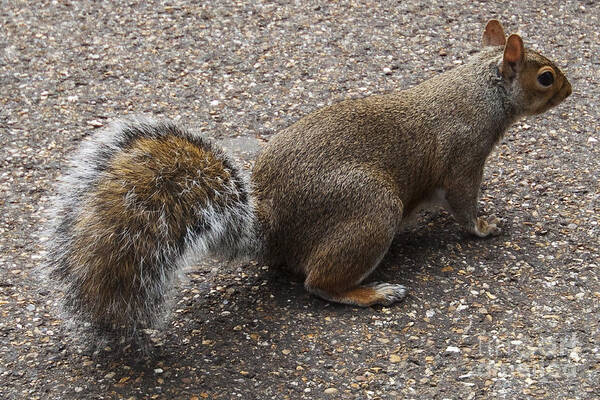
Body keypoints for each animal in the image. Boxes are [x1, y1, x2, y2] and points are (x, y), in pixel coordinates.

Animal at [44, 19, 568, 338]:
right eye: (545, 76)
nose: (571, 87)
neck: (480, 89)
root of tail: (272, 228)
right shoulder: (464, 158)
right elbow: (462, 202)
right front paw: (483, 227)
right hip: (372, 207)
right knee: (318, 283)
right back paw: (374, 293)